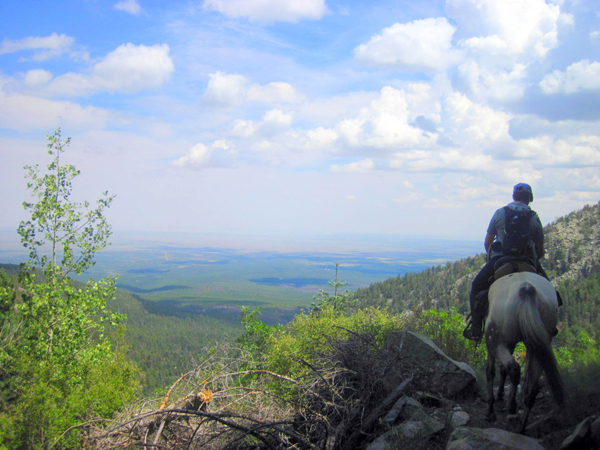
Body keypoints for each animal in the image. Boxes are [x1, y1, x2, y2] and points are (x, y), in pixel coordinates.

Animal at [486, 270, 564, 432]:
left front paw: (490, 409)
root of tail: (526, 289)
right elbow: (502, 370)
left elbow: (490, 371)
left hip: (495, 341)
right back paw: (521, 427)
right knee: (532, 386)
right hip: (538, 346)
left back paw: (512, 408)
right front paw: (500, 394)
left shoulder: (494, 345)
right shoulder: (511, 343)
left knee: (514, 368)